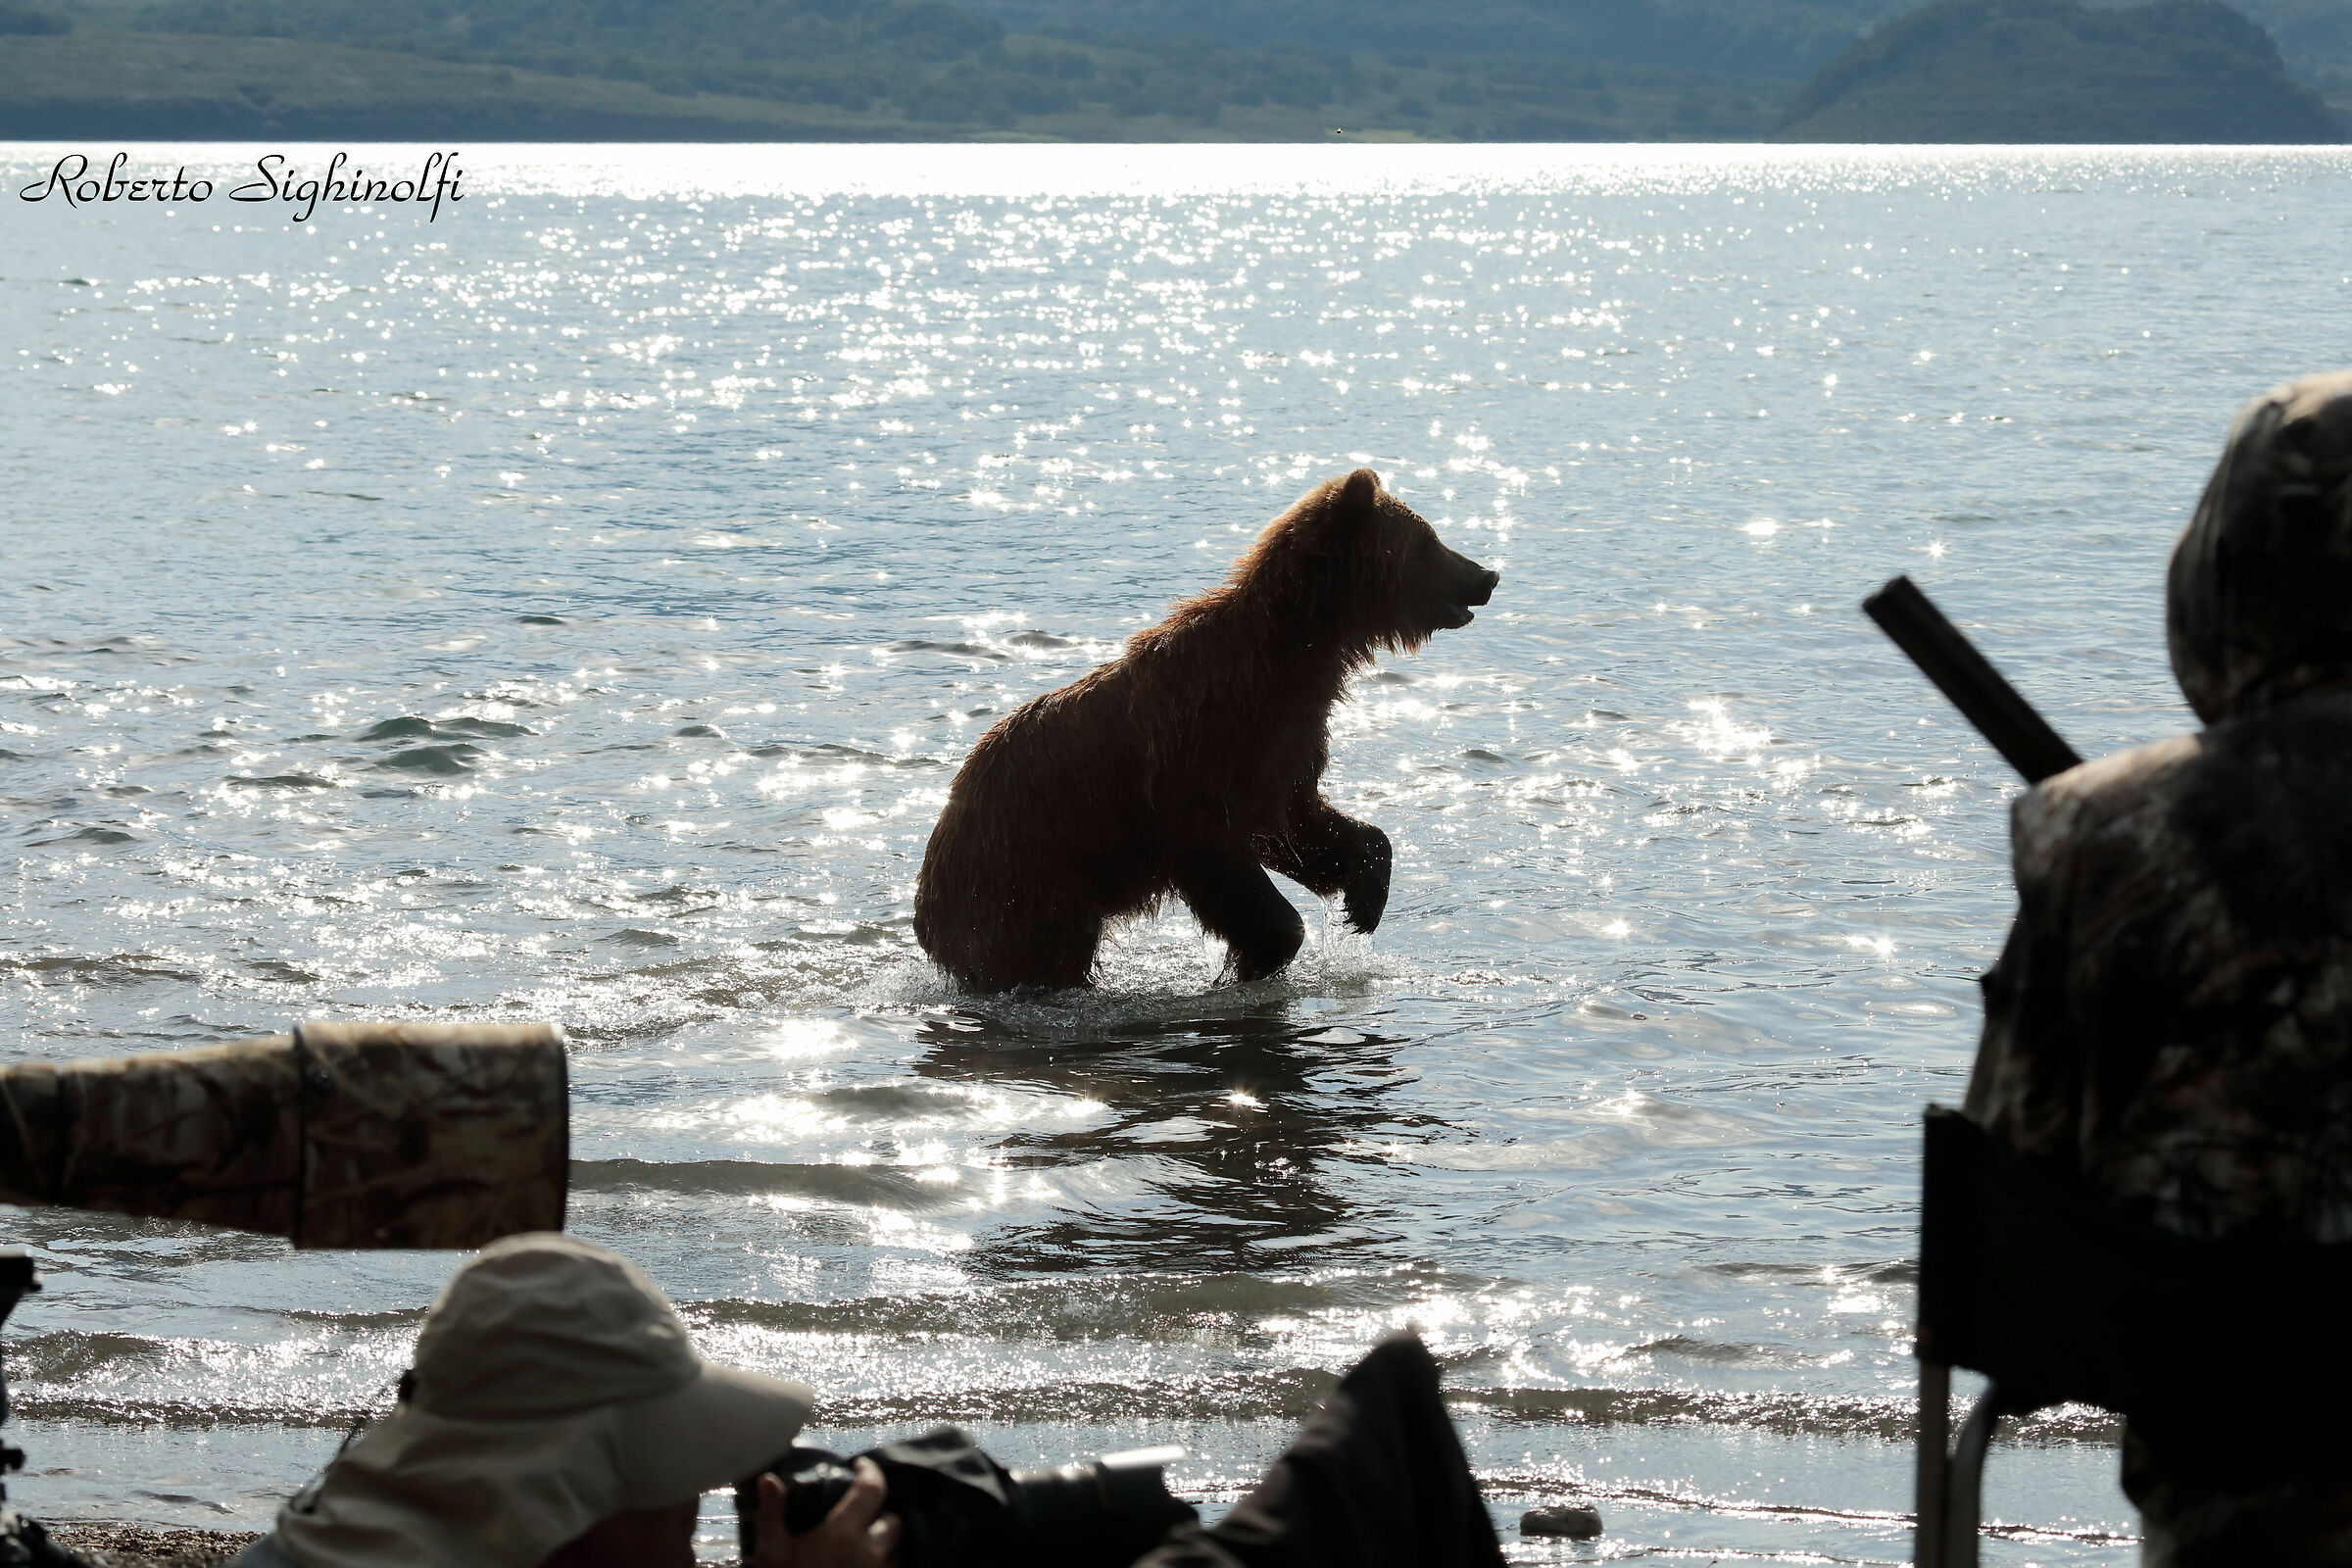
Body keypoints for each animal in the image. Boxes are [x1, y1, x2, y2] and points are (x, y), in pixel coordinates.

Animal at [913, 468, 1500, 992]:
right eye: (1429, 540)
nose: (1487, 575)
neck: (1292, 659)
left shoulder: (1281, 748)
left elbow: (1303, 824)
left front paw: (1364, 898)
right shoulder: (1196, 760)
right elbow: (1225, 866)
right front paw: (1262, 951)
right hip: (1027, 878)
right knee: (1042, 952)